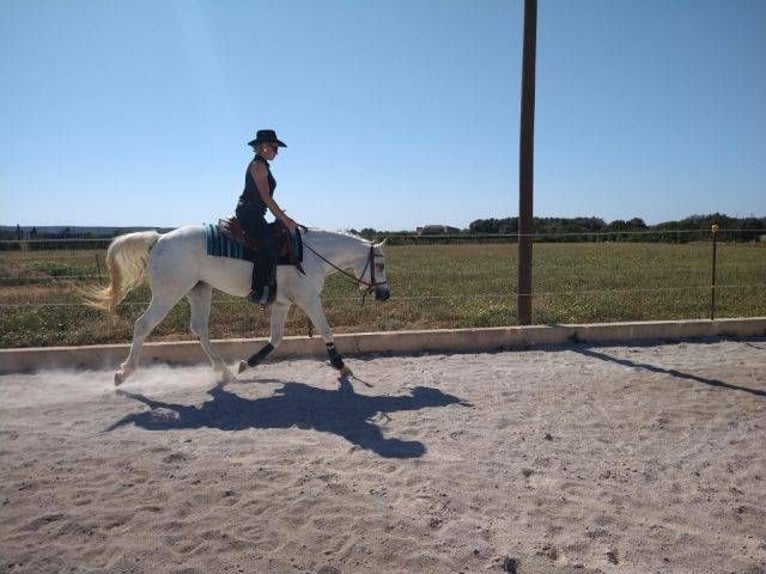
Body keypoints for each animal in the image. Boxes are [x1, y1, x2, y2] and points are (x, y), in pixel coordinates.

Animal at [87, 225, 392, 388]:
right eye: (380, 265)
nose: (385, 294)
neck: (309, 255)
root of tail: (160, 238)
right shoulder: (309, 300)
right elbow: (326, 330)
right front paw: (342, 367)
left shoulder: (282, 304)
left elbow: (276, 339)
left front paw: (247, 363)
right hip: (167, 294)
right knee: (143, 326)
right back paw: (123, 373)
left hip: (200, 291)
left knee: (199, 329)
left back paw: (224, 371)